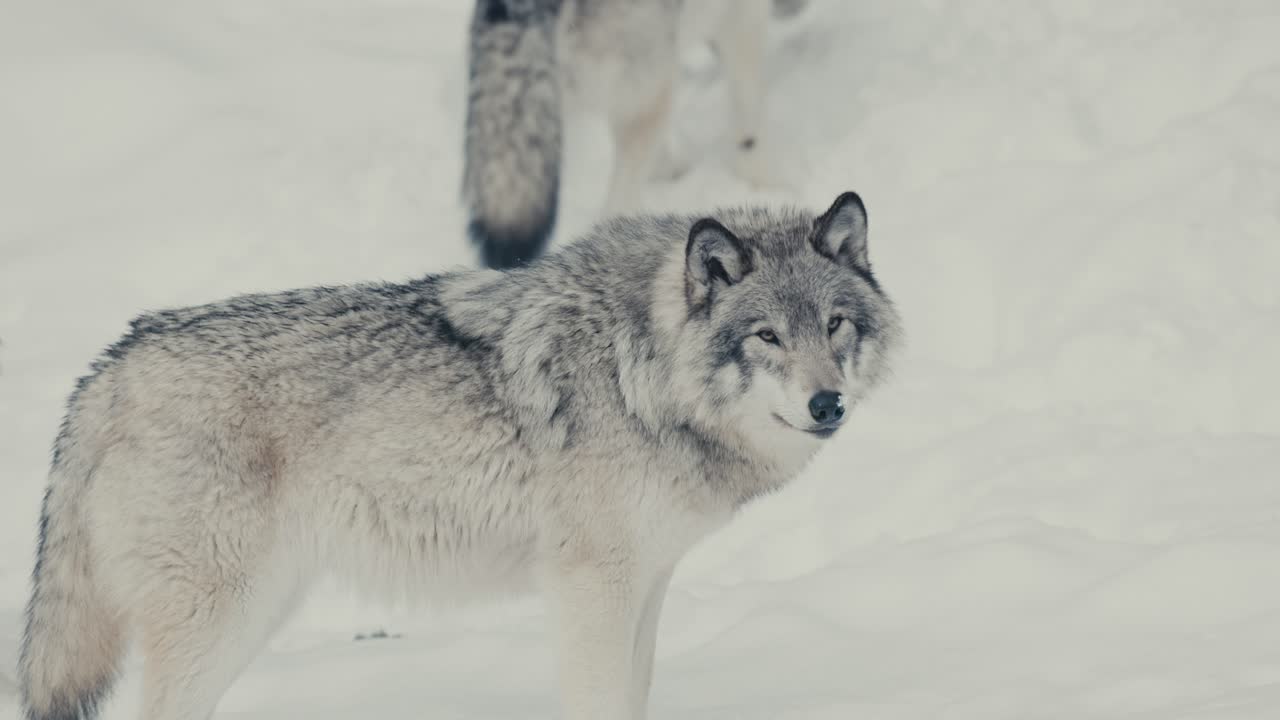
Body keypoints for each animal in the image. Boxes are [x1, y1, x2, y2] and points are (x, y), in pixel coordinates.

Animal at [19, 191, 899, 720]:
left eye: (834, 326)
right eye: (766, 337)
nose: (827, 404)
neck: (641, 370)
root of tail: (107, 368)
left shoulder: (647, 582)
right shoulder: (592, 587)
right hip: (221, 620)